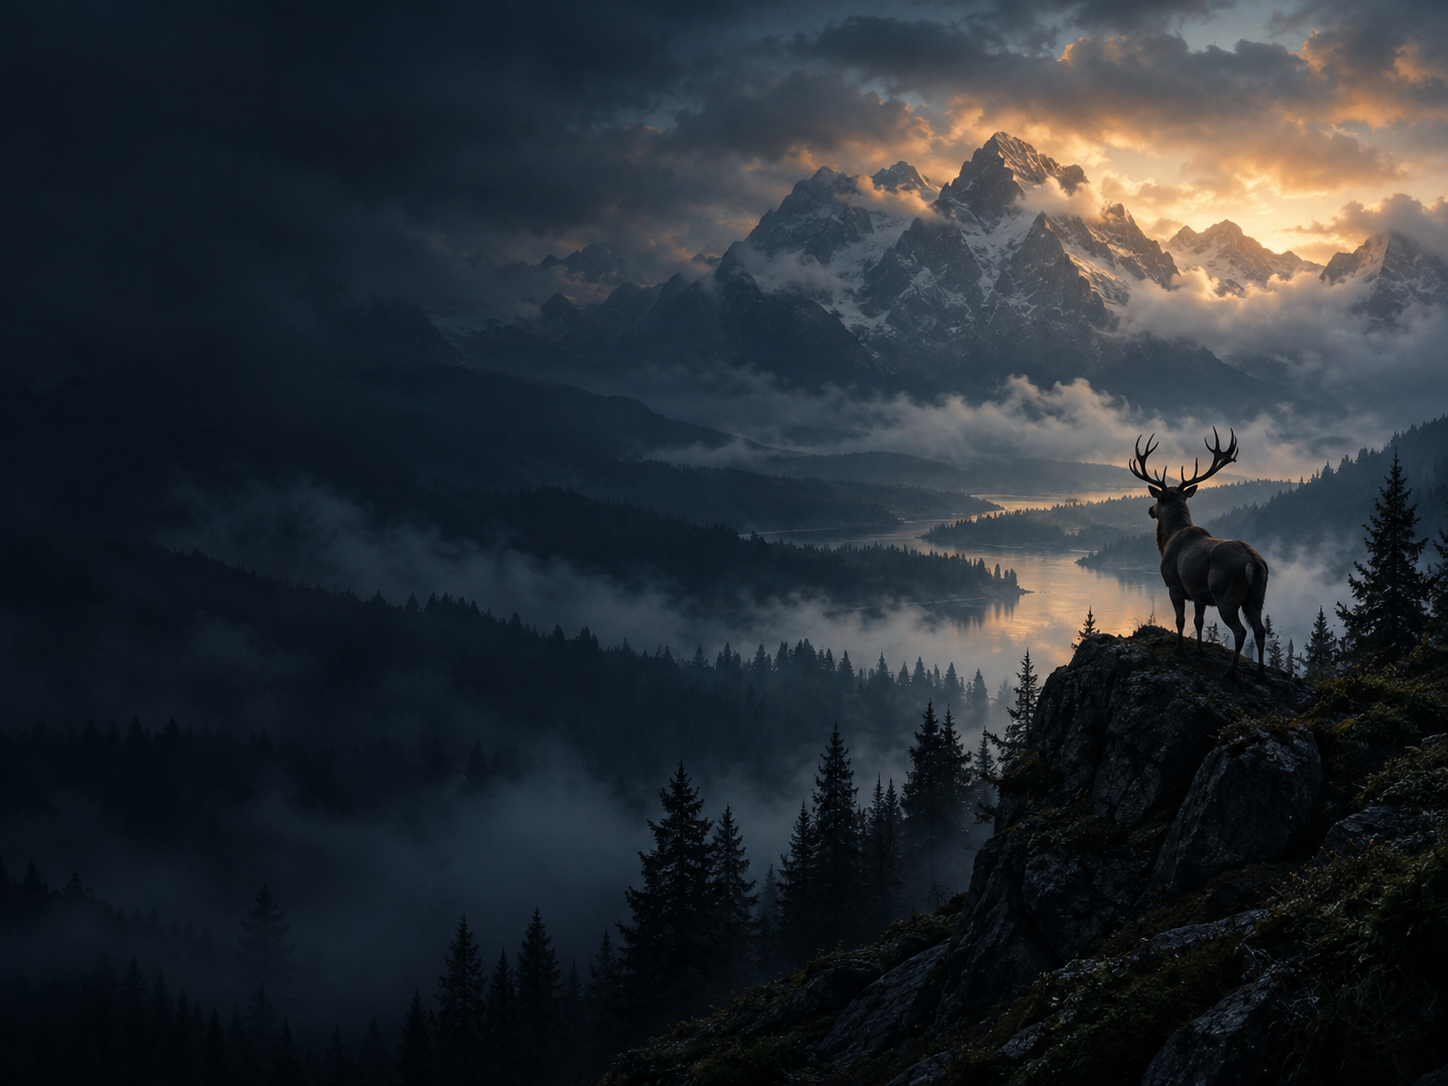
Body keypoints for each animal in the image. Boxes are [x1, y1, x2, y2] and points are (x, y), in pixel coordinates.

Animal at [1128, 428, 1269, 678]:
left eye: (1157, 499)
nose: (1150, 510)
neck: (1167, 541)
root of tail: (1254, 563)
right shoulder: (1199, 593)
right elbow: (1199, 621)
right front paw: (1200, 652)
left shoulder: (1175, 585)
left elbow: (1181, 620)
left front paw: (1179, 650)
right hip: (1256, 598)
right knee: (1260, 631)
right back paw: (1260, 672)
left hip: (1226, 596)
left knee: (1241, 632)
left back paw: (1230, 671)